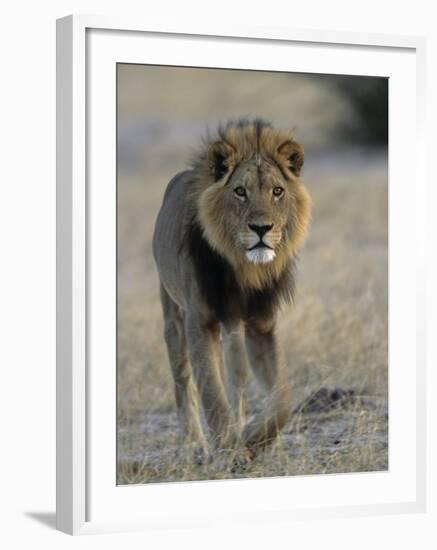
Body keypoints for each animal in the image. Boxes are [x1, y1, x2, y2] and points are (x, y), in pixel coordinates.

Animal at [152, 119, 310, 466]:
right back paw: (194, 445)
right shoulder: (200, 321)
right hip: (173, 314)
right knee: (184, 379)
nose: (261, 229)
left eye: (277, 191)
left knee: (236, 379)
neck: (244, 270)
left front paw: (253, 438)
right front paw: (228, 449)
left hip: (234, 328)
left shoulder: (261, 325)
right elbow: (211, 391)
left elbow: (283, 399)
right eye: (240, 191)